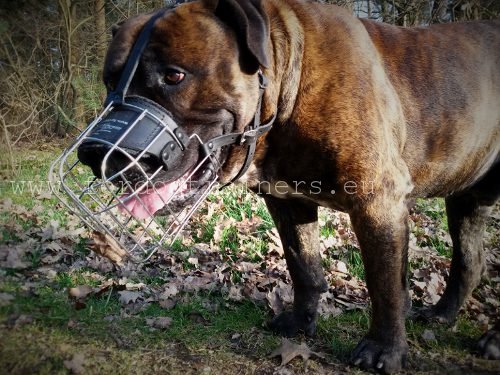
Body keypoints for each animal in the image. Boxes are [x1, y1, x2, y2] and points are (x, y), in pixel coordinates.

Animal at [83, 0, 500, 374]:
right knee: (470, 260)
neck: (288, 89)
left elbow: (386, 285)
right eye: (109, 81)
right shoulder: (287, 201)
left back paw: (491, 340)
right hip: (466, 199)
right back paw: (443, 315)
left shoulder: (378, 202)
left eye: (173, 76)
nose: (94, 151)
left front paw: (384, 350)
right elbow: (303, 265)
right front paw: (300, 323)